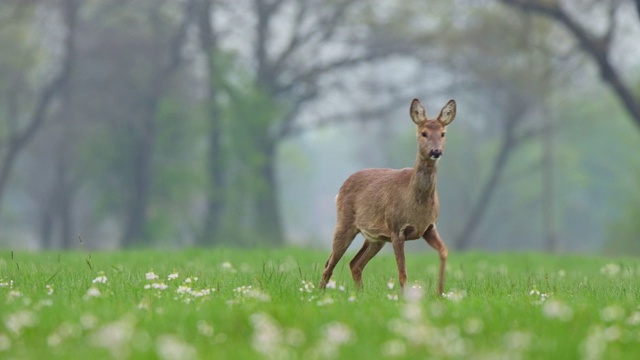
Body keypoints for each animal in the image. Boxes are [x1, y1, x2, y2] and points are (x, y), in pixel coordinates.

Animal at [320, 98, 456, 296]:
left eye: (443, 133)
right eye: (423, 133)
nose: (436, 151)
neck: (416, 201)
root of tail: (341, 188)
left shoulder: (429, 227)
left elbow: (444, 251)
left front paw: (440, 292)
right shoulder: (396, 228)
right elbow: (402, 272)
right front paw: (404, 296)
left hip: (376, 238)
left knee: (355, 263)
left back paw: (360, 294)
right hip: (345, 223)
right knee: (330, 263)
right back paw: (320, 293)